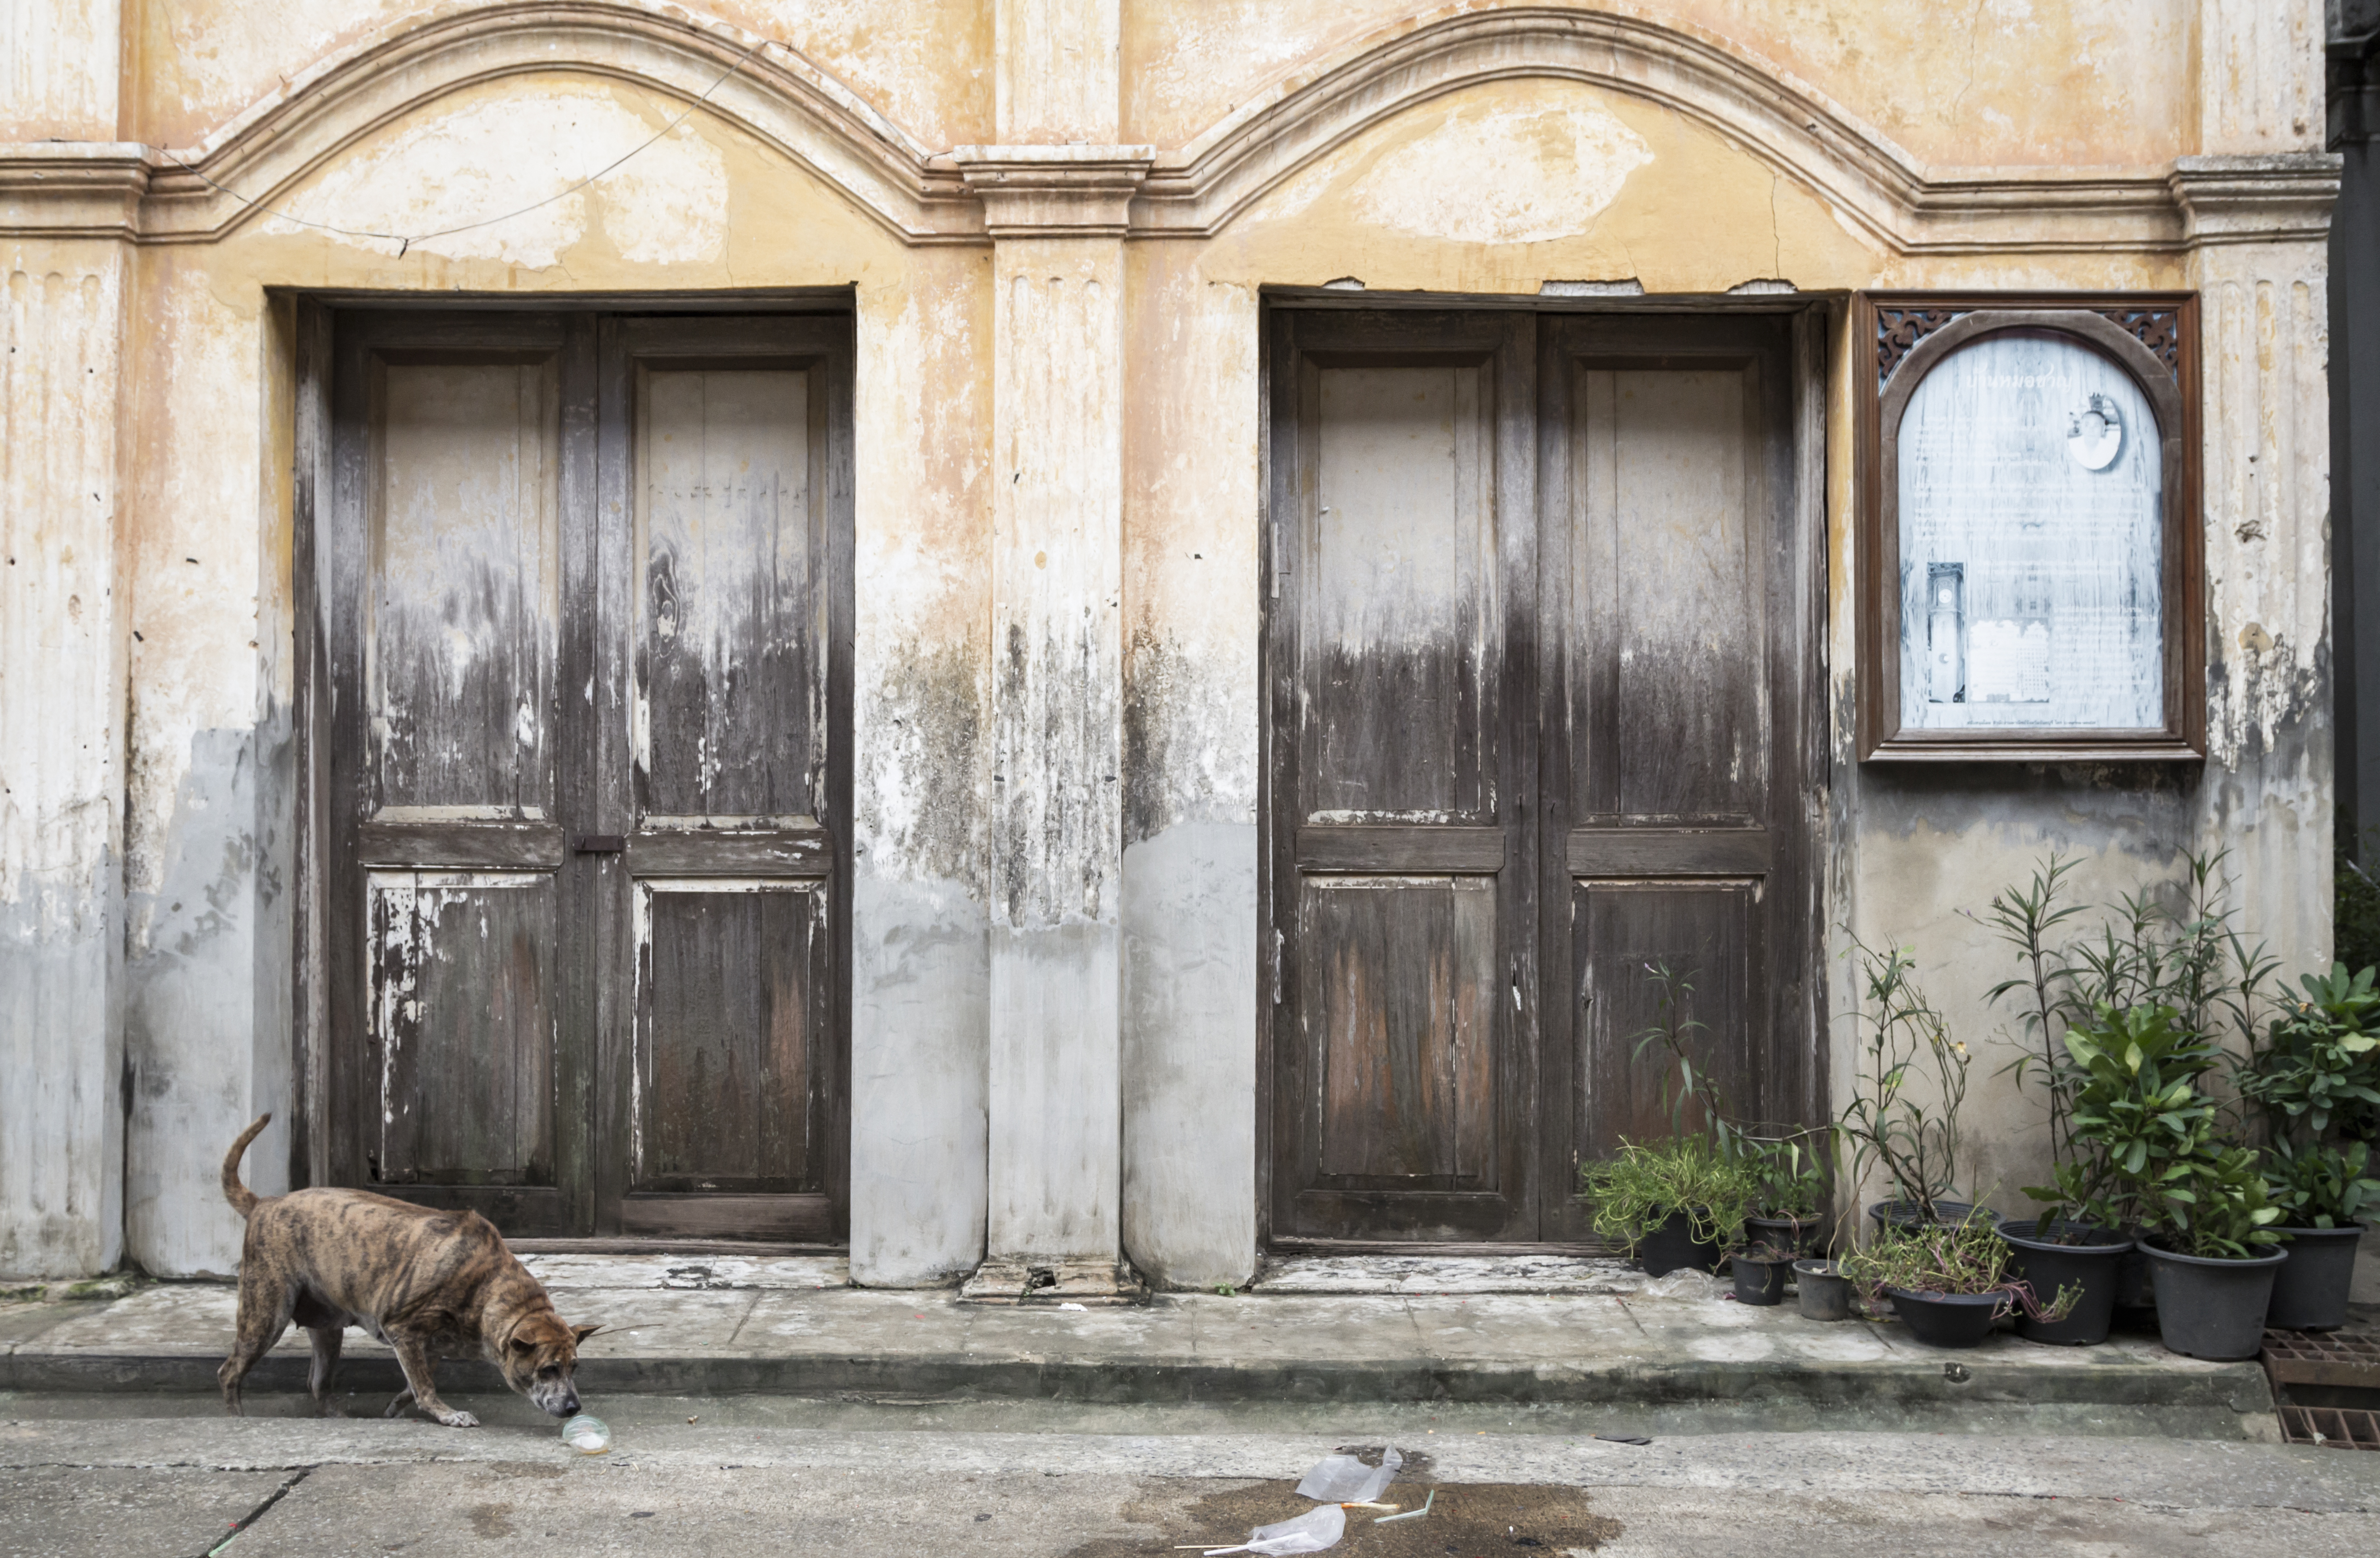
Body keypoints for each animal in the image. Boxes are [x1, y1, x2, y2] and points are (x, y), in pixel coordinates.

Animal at [219, 1113, 600, 1437]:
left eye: (575, 1367)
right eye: (549, 1369)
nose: (574, 1407)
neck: (486, 1283)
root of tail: (263, 1204)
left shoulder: (427, 1348)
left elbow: (415, 1383)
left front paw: (395, 1410)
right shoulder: (403, 1330)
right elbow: (424, 1386)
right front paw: (449, 1415)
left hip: (327, 1328)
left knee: (317, 1383)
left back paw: (339, 1418)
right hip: (266, 1315)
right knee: (230, 1372)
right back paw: (236, 1419)